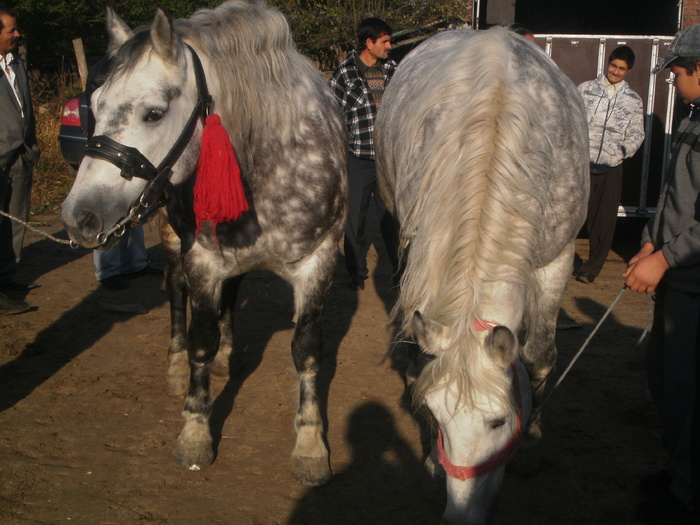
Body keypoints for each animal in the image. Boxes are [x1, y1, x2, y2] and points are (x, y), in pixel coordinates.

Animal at [60, 0, 348, 486]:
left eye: (153, 113)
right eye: (94, 106)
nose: (79, 217)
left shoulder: (319, 262)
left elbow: (307, 351)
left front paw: (310, 444)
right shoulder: (202, 259)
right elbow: (200, 339)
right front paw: (195, 432)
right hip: (174, 240)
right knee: (176, 295)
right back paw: (177, 364)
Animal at [374, 28, 588, 524]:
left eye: (498, 421)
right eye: (436, 417)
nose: (461, 515)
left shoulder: (558, 259)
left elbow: (540, 357)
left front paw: (530, 447)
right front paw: (432, 460)